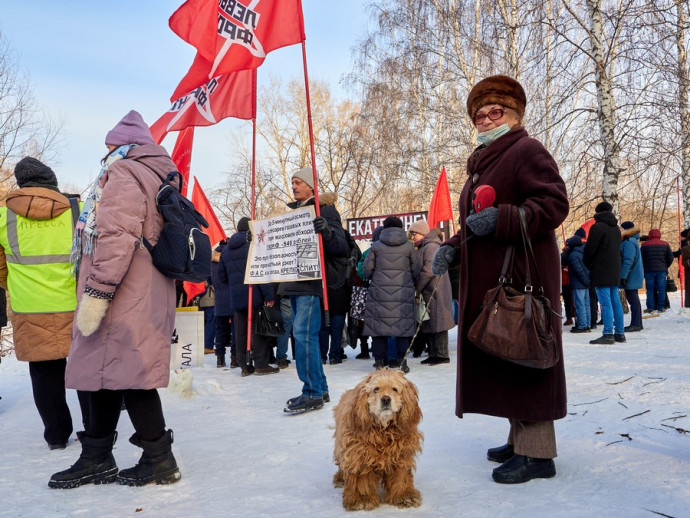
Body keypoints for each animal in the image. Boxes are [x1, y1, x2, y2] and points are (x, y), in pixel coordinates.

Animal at [332, 370, 422, 512]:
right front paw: (362, 499)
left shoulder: (401, 453)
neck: (383, 431)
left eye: (395, 389)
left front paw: (404, 496)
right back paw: (341, 478)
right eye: (376, 389)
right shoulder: (360, 455)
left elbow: (401, 476)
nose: (385, 399)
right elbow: (361, 479)